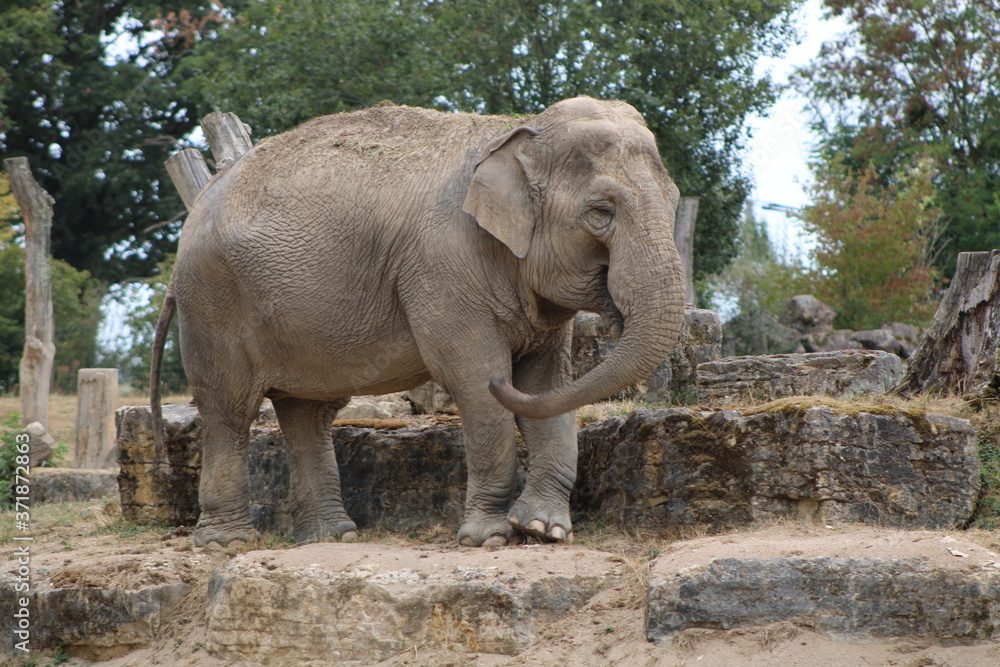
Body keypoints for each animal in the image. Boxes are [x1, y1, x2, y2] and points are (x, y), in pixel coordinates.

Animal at [150, 96, 685, 548]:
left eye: (676, 200)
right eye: (601, 212)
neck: (514, 134)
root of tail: (198, 205)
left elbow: (547, 381)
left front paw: (543, 531)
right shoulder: (440, 266)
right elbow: (473, 378)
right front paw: (488, 539)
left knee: (307, 411)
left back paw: (331, 537)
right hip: (212, 299)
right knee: (229, 408)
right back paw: (227, 543)